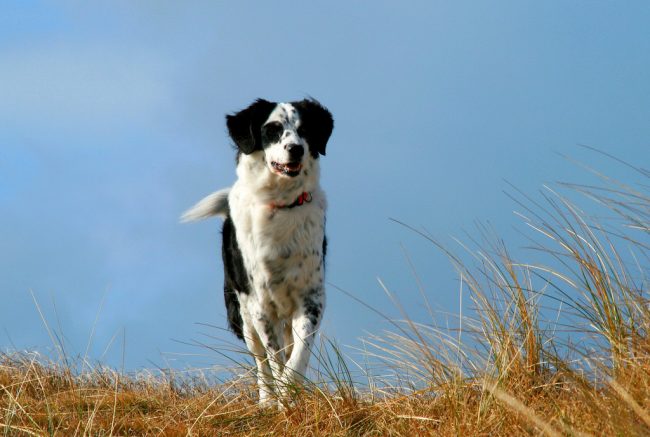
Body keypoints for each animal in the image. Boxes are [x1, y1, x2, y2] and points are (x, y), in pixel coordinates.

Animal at [182, 98, 334, 406]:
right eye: (272, 129)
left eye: (305, 130)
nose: (296, 148)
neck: (282, 204)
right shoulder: (261, 304)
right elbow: (273, 360)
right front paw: (279, 400)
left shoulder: (311, 298)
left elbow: (297, 356)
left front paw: (292, 394)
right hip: (242, 312)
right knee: (261, 362)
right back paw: (266, 401)